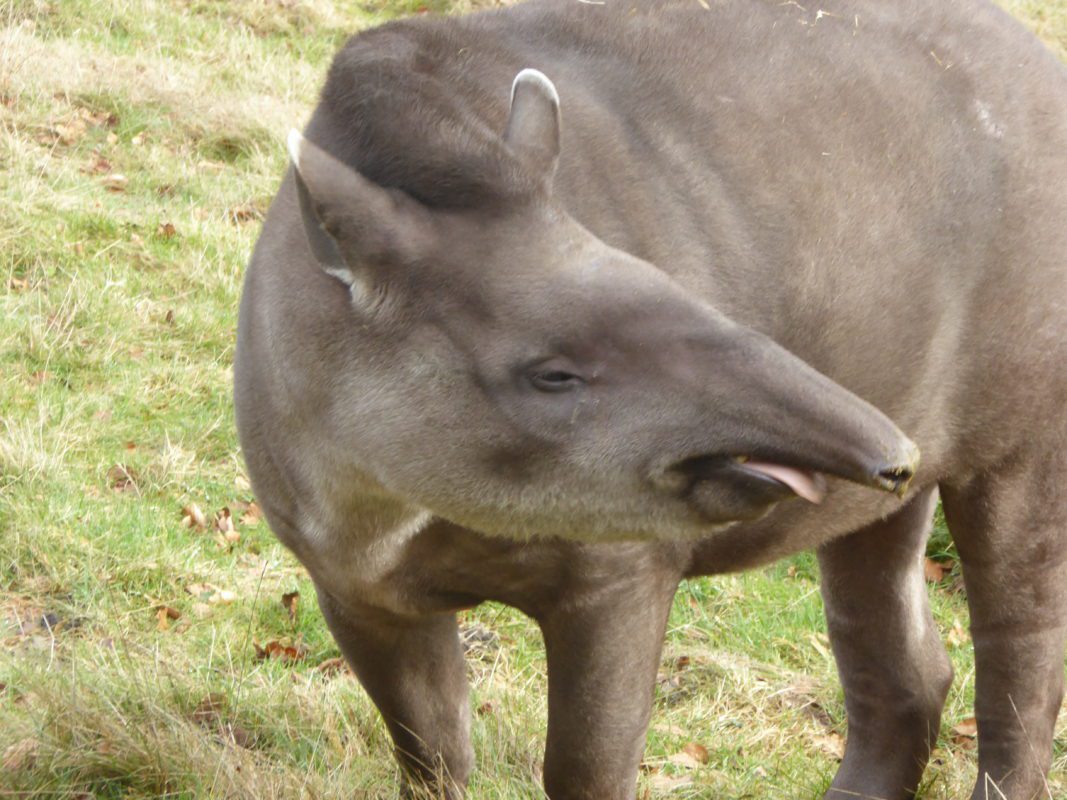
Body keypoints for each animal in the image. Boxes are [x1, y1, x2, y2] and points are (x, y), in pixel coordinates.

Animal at [234, 0, 1067, 797]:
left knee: (1020, 648)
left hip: (1028, 426)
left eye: (676, 286)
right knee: (902, 653)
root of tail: (1040, 58)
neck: (384, 509)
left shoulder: (619, 574)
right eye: (552, 374)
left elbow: (585, 769)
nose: (891, 451)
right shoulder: (350, 582)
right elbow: (432, 756)